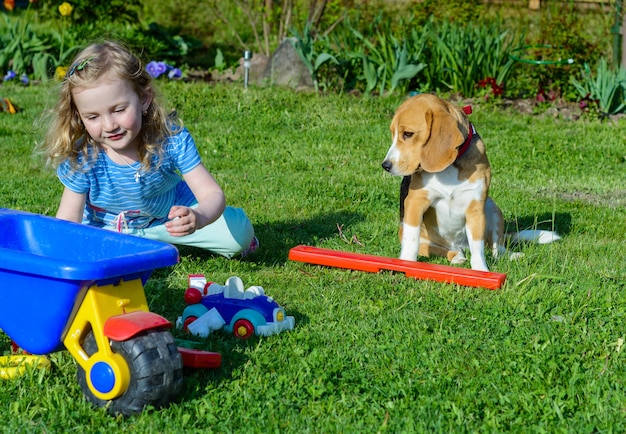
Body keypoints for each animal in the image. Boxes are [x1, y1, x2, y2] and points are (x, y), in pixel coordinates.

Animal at [378, 94, 500, 272]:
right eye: (392, 134)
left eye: (408, 134)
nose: (385, 165)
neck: (449, 167)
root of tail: (459, 245)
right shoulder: (415, 202)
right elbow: (411, 241)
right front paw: (406, 263)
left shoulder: (476, 208)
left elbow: (478, 248)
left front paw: (481, 271)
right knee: (446, 250)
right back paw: (456, 257)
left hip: (491, 207)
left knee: (497, 246)